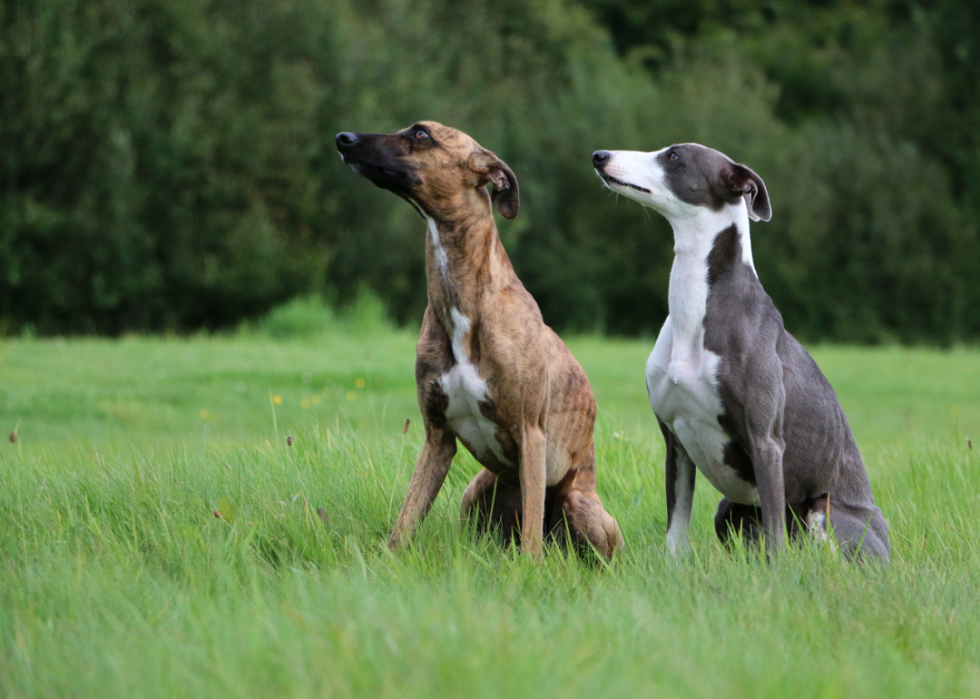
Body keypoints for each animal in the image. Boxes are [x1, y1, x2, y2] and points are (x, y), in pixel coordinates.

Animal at [336, 123, 620, 560]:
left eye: (421, 133)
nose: (342, 138)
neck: (463, 306)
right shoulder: (437, 439)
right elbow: (406, 519)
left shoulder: (531, 433)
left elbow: (531, 537)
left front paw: (530, 570)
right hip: (477, 490)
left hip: (578, 502)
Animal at [592, 144, 892, 564]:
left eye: (674, 157)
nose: (599, 155)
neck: (696, 310)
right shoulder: (675, 440)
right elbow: (676, 530)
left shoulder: (766, 442)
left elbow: (775, 539)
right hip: (728, 509)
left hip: (825, 512)